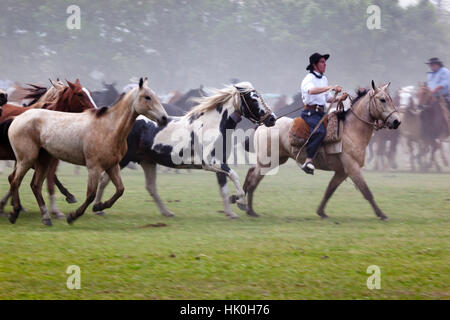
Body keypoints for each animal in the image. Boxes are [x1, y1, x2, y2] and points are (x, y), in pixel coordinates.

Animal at [93, 82, 276, 220]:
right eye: (253, 100)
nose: (272, 118)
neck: (213, 125)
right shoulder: (211, 163)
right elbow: (235, 176)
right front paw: (240, 202)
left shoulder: (220, 163)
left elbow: (224, 189)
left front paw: (231, 211)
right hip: (123, 159)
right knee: (104, 179)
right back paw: (98, 208)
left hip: (147, 161)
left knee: (150, 187)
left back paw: (167, 212)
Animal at [243, 81, 400, 220]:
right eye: (383, 99)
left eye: (390, 98)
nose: (397, 121)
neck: (351, 130)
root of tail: (262, 125)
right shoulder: (352, 168)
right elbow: (366, 191)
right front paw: (382, 215)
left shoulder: (342, 171)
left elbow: (330, 189)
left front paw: (321, 212)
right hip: (268, 161)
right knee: (253, 179)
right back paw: (249, 209)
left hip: (276, 160)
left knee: (252, 174)